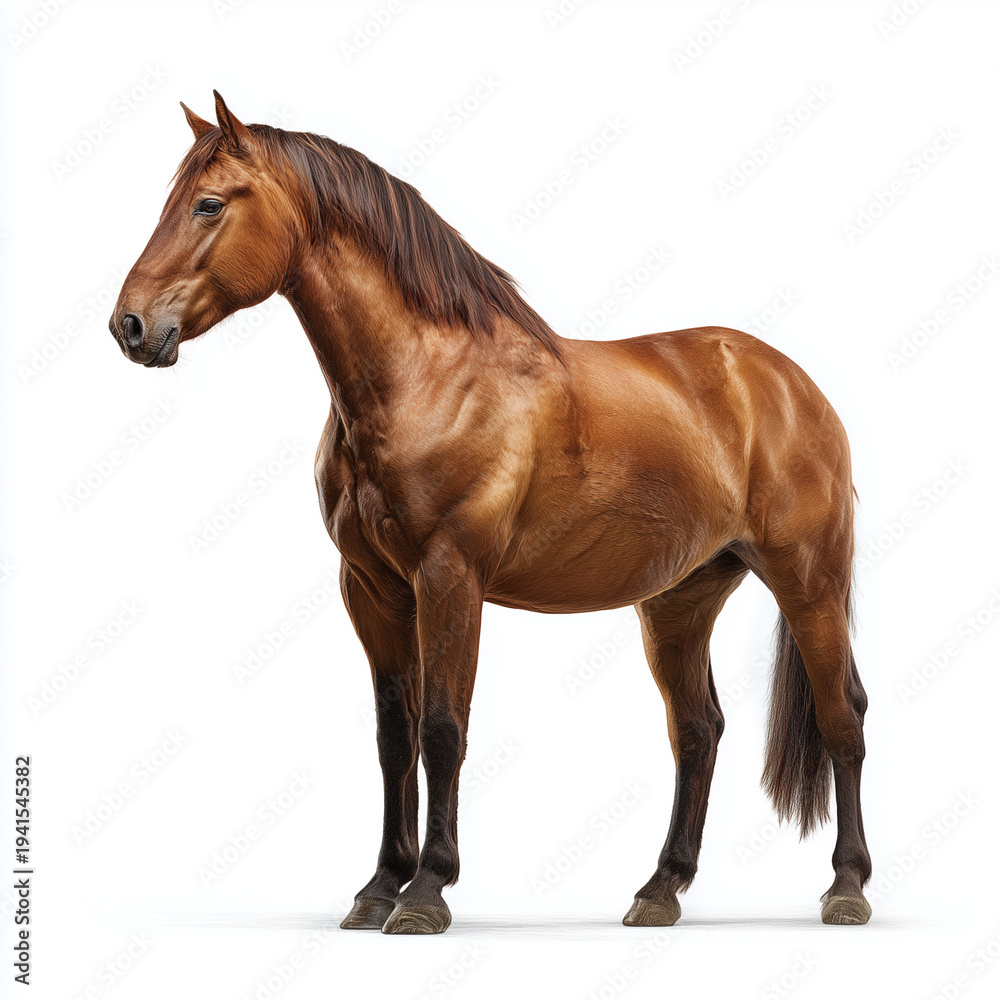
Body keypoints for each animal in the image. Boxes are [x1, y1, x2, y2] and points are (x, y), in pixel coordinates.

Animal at [109, 92, 872, 934]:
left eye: (209, 204)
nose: (130, 326)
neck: (425, 376)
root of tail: (790, 384)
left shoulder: (451, 577)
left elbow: (443, 729)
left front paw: (426, 893)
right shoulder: (372, 589)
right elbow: (394, 736)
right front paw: (377, 887)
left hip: (809, 582)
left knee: (842, 717)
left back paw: (847, 887)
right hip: (681, 600)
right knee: (698, 730)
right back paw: (660, 889)